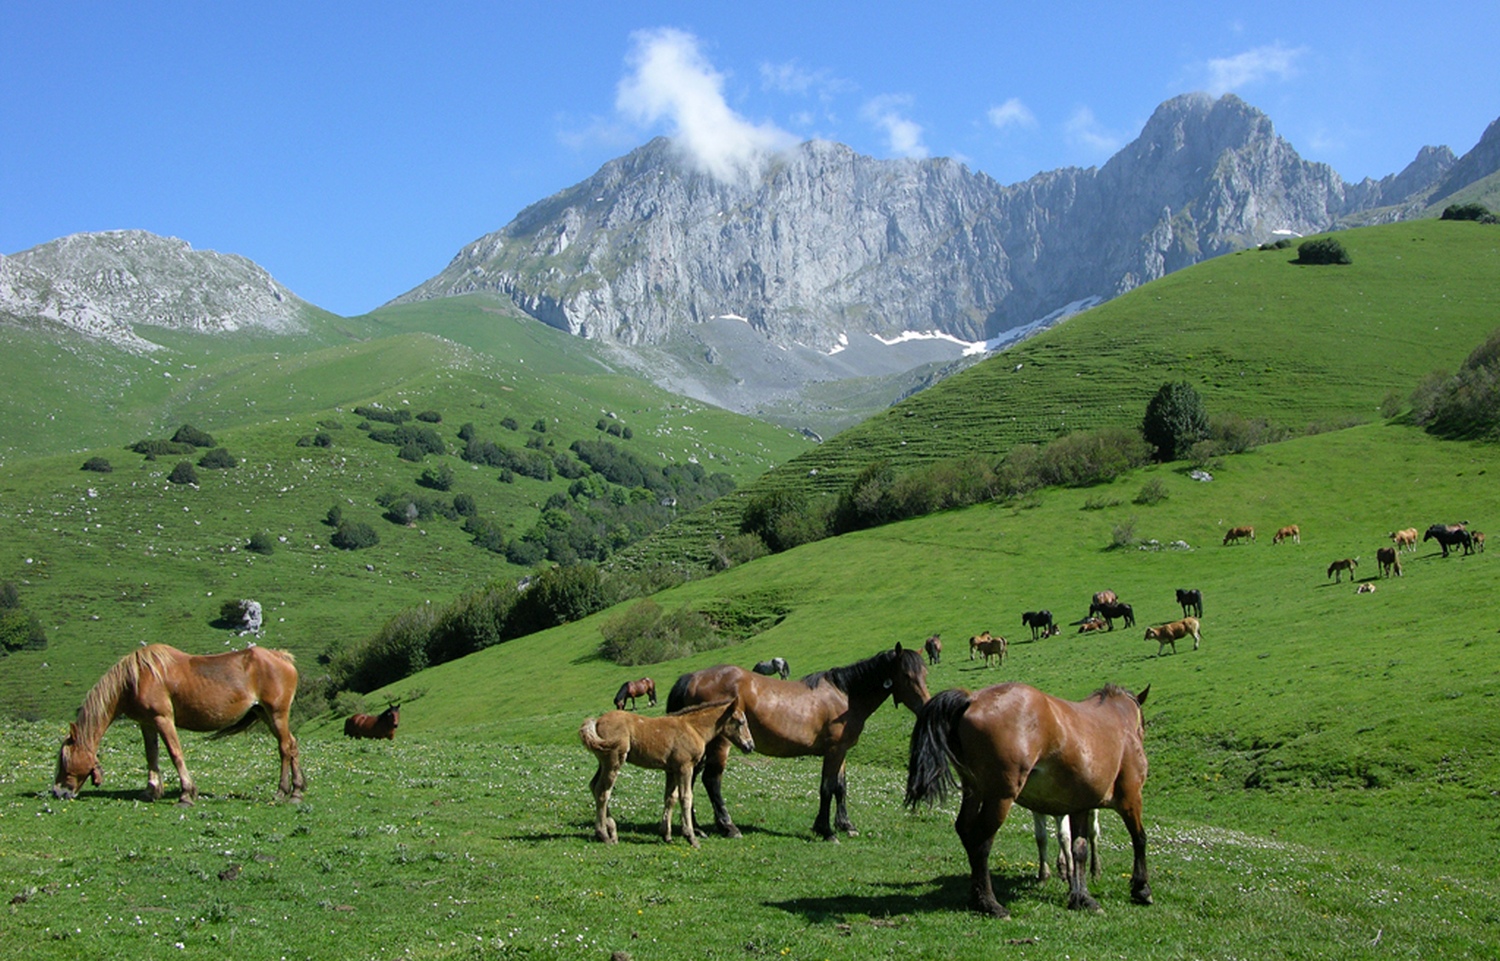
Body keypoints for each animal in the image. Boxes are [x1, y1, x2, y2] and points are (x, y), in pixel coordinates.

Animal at [52, 641, 304, 803]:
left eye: (64, 760)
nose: (58, 792)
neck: (136, 678)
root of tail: (283, 658)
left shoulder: (163, 719)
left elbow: (175, 753)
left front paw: (186, 793)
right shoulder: (147, 723)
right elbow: (151, 755)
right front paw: (152, 791)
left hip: (276, 713)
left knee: (284, 747)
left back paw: (284, 792)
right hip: (264, 714)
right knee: (291, 745)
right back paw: (298, 789)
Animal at [579, 695, 756, 845]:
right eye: (741, 722)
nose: (750, 746)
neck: (693, 728)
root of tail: (596, 722)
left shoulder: (672, 770)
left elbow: (670, 798)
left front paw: (666, 834)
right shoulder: (685, 767)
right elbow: (686, 798)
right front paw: (691, 837)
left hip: (604, 762)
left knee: (594, 786)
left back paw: (611, 830)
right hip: (614, 761)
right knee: (603, 791)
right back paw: (604, 834)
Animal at [669, 644, 924, 839]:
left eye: (924, 674)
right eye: (907, 675)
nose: (925, 706)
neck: (845, 696)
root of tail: (693, 678)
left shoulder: (841, 751)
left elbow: (840, 787)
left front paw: (846, 825)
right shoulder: (834, 751)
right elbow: (827, 788)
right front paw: (826, 830)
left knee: (691, 780)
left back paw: (696, 828)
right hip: (721, 744)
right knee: (711, 781)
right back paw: (728, 827)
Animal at [906, 683, 1152, 911]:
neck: (1118, 720)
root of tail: (971, 700)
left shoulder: (1079, 806)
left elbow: (1079, 849)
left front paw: (1082, 897)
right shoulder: (1131, 798)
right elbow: (1139, 838)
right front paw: (1141, 888)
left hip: (973, 790)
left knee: (965, 829)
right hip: (999, 798)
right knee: (981, 840)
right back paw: (989, 903)